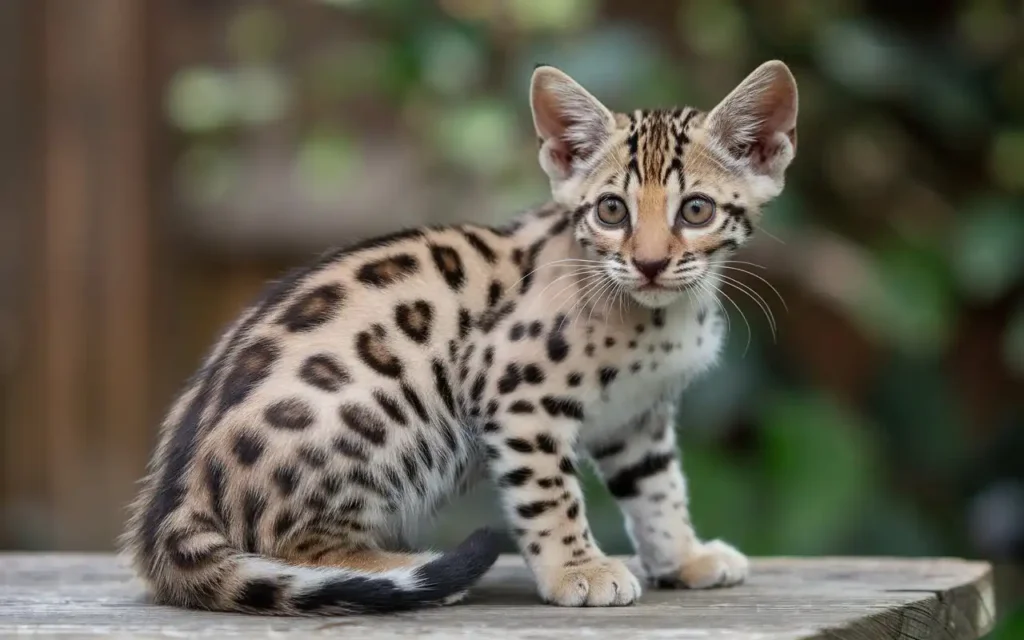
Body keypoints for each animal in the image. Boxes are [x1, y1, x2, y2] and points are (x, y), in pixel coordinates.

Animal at [121, 61, 798, 614]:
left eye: (696, 210)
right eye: (611, 211)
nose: (652, 263)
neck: (664, 314)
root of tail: (170, 514)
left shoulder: (639, 418)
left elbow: (660, 489)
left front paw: (684, 556)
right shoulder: (516, 391)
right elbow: (550, 492)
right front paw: (578, 569)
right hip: (381, 413)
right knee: (287, 544)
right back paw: (401, 568)